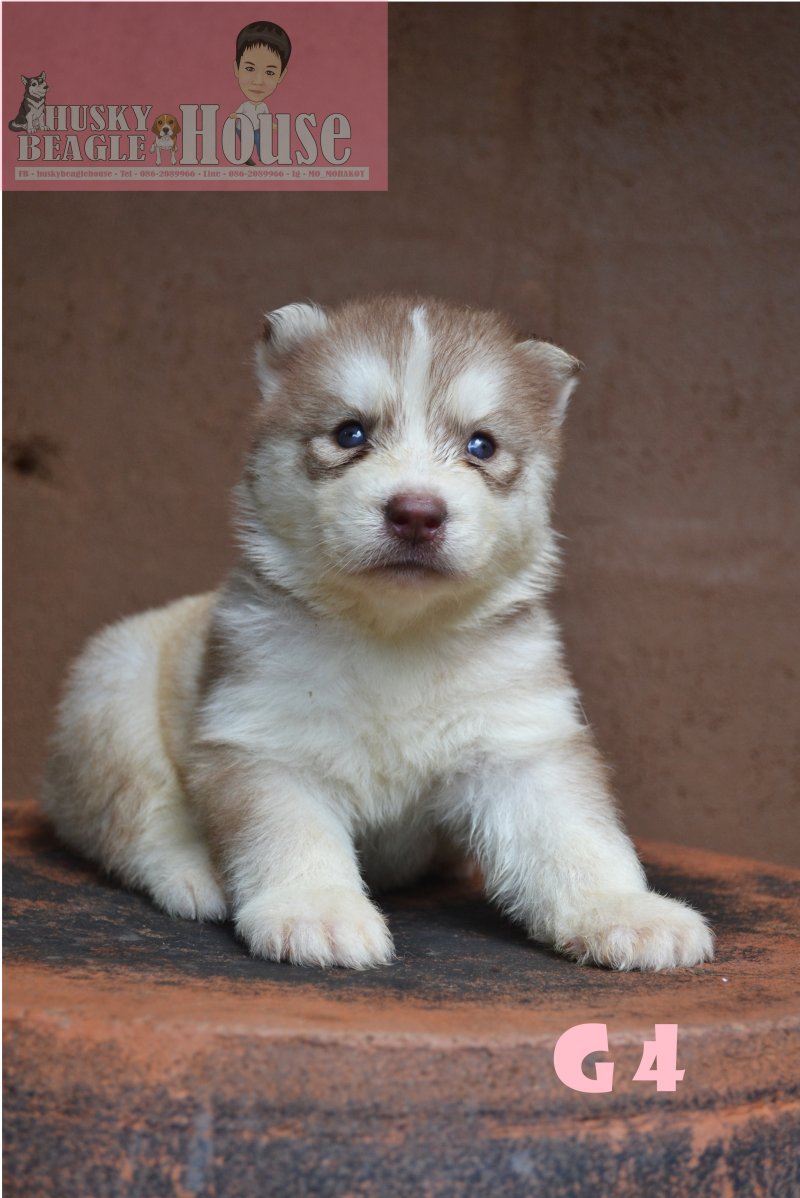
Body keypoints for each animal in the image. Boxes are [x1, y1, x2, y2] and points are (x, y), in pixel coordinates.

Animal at [42, 297, 714, 971]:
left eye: (482, 445)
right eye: (350, 433)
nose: (417, 513)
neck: (394, 634)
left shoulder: (522, 743)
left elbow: (574, 838)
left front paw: (623, 911)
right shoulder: (266, 739)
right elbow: (292, 834)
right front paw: (317, 910)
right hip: (112, 702)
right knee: (139, 822)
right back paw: (195, 874)